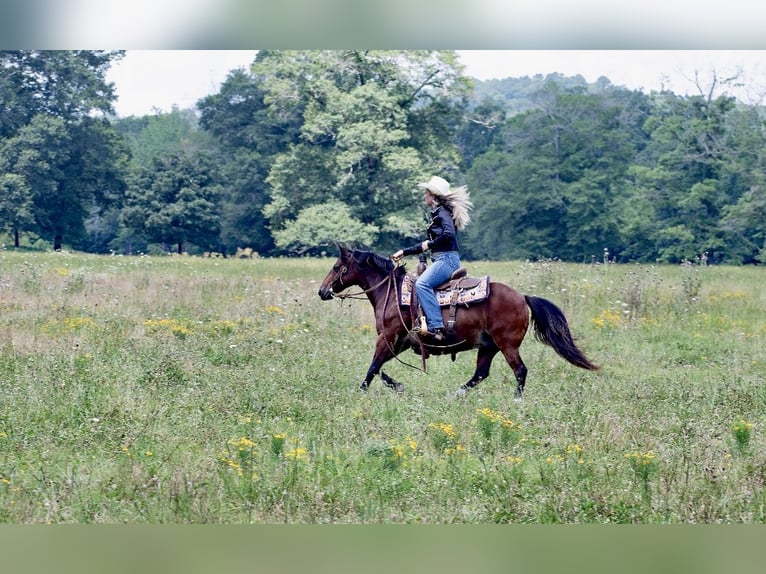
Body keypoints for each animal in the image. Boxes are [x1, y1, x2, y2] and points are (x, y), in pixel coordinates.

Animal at [318, 245, 598, 398]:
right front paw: (396, 384)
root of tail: (523, 297)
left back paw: (515, 400)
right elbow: (379, 368)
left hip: (507, 345)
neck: (392, 291)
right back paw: (456, 394)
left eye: (336, 266)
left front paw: (362, 392)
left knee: (520, 371)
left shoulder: (387, 337)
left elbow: (372, 367)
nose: (322, 291)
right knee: (480, 374)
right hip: (488, 346)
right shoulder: (401, 341)